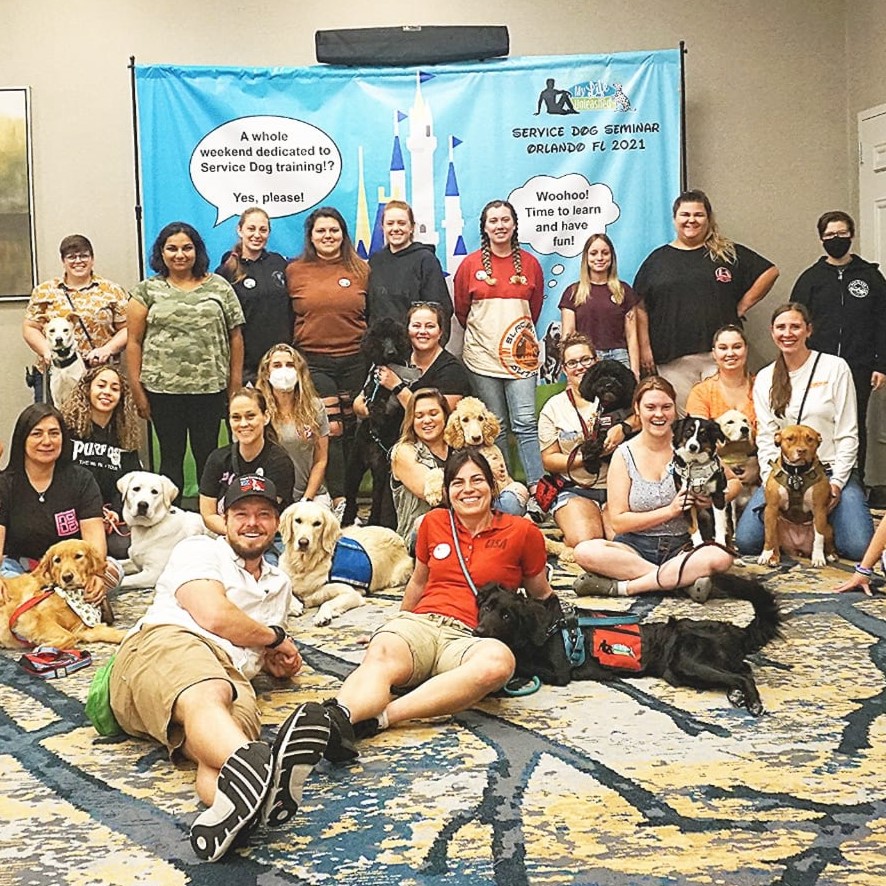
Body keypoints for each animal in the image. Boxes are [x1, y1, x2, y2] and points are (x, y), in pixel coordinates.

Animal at [280, 502, 414, 628]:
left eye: (317, 523)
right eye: (298, 520)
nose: (303, 542)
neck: (304, 565)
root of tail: (396, 535)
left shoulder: (351, 593)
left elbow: (326, 603)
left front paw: (322, 616)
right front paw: (294, 606)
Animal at [476, 580, 788, 720]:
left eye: (506, 616)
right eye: (487, 608)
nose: (478, 631)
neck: (549, 628)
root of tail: (737, 631)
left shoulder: (559, 671)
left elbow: (520, 661)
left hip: (688, 662)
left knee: (743, 675)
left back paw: (752, 702)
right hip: (680, 672)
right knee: (743, 669)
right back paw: (738, 696)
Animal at [760, 424, 836, 568]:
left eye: (810, 439)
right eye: (790, 438)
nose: (801, 451)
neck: (796, 472)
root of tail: (798, 547)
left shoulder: (819, 510)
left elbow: (819, 537)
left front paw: (818, 558)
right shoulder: (771, 509)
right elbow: (769, 535)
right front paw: (765, 555)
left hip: (828, 527)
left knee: (826, 539)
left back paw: (831, 554)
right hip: (777, 523)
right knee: (775, 540)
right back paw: (774, 558)